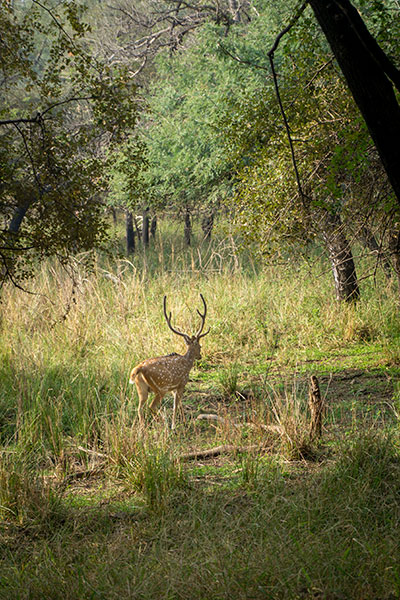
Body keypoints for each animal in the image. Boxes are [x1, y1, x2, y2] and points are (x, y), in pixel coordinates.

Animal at [130, 294, 209, 426]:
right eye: (200, 346)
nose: (200, 356)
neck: (187, 363)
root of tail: (139, 368)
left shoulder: (173, 388)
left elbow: (180, 404)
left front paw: (183, 421)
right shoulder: (181, 383)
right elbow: (176, 405)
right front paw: (174, 424)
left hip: (141, 389)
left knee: (139, 409)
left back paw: (143, 428)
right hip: (160, 388)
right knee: (151, 407)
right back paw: (163, 423)